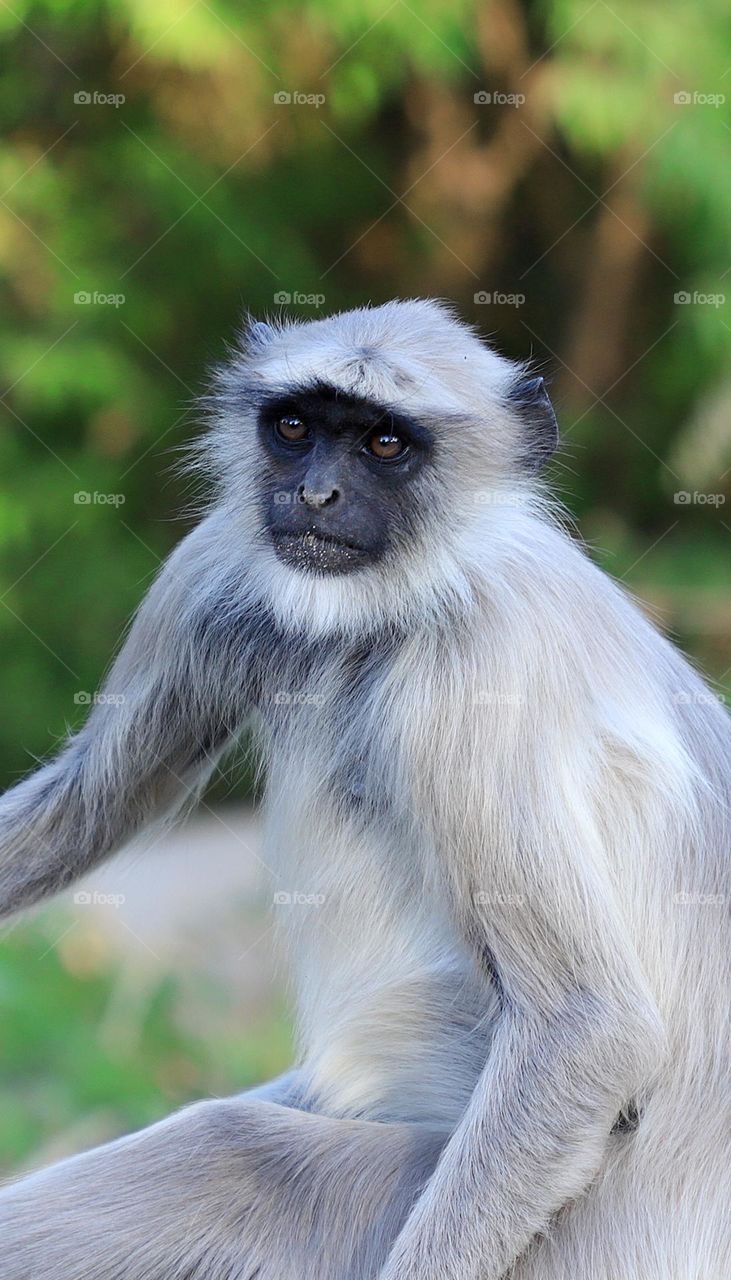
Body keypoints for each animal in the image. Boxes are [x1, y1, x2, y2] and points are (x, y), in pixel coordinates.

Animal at [1, 299, 731, 1280]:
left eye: (385, 443)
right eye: (295, 428)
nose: (315, 496)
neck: (403, 601)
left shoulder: (476, 672)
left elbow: (588, 1029)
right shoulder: (216, 564)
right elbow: (91, 803)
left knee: (236, 1153)